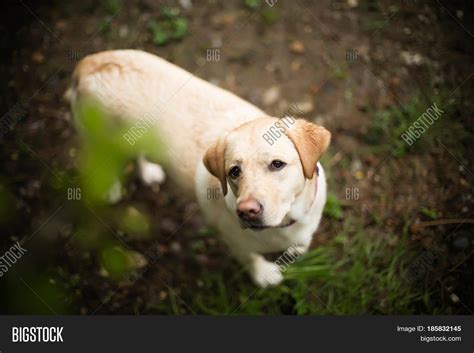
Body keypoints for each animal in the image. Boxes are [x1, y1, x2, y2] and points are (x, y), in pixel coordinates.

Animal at [68, 49, 332, 286]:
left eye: (277, 164)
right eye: (234, 172)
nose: (246, 211)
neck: (289, 219)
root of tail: (91, 61)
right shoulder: (236, 243)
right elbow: (251, 259)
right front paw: (263, 275)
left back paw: (148, 172)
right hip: (99, 141)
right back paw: (111, 188)